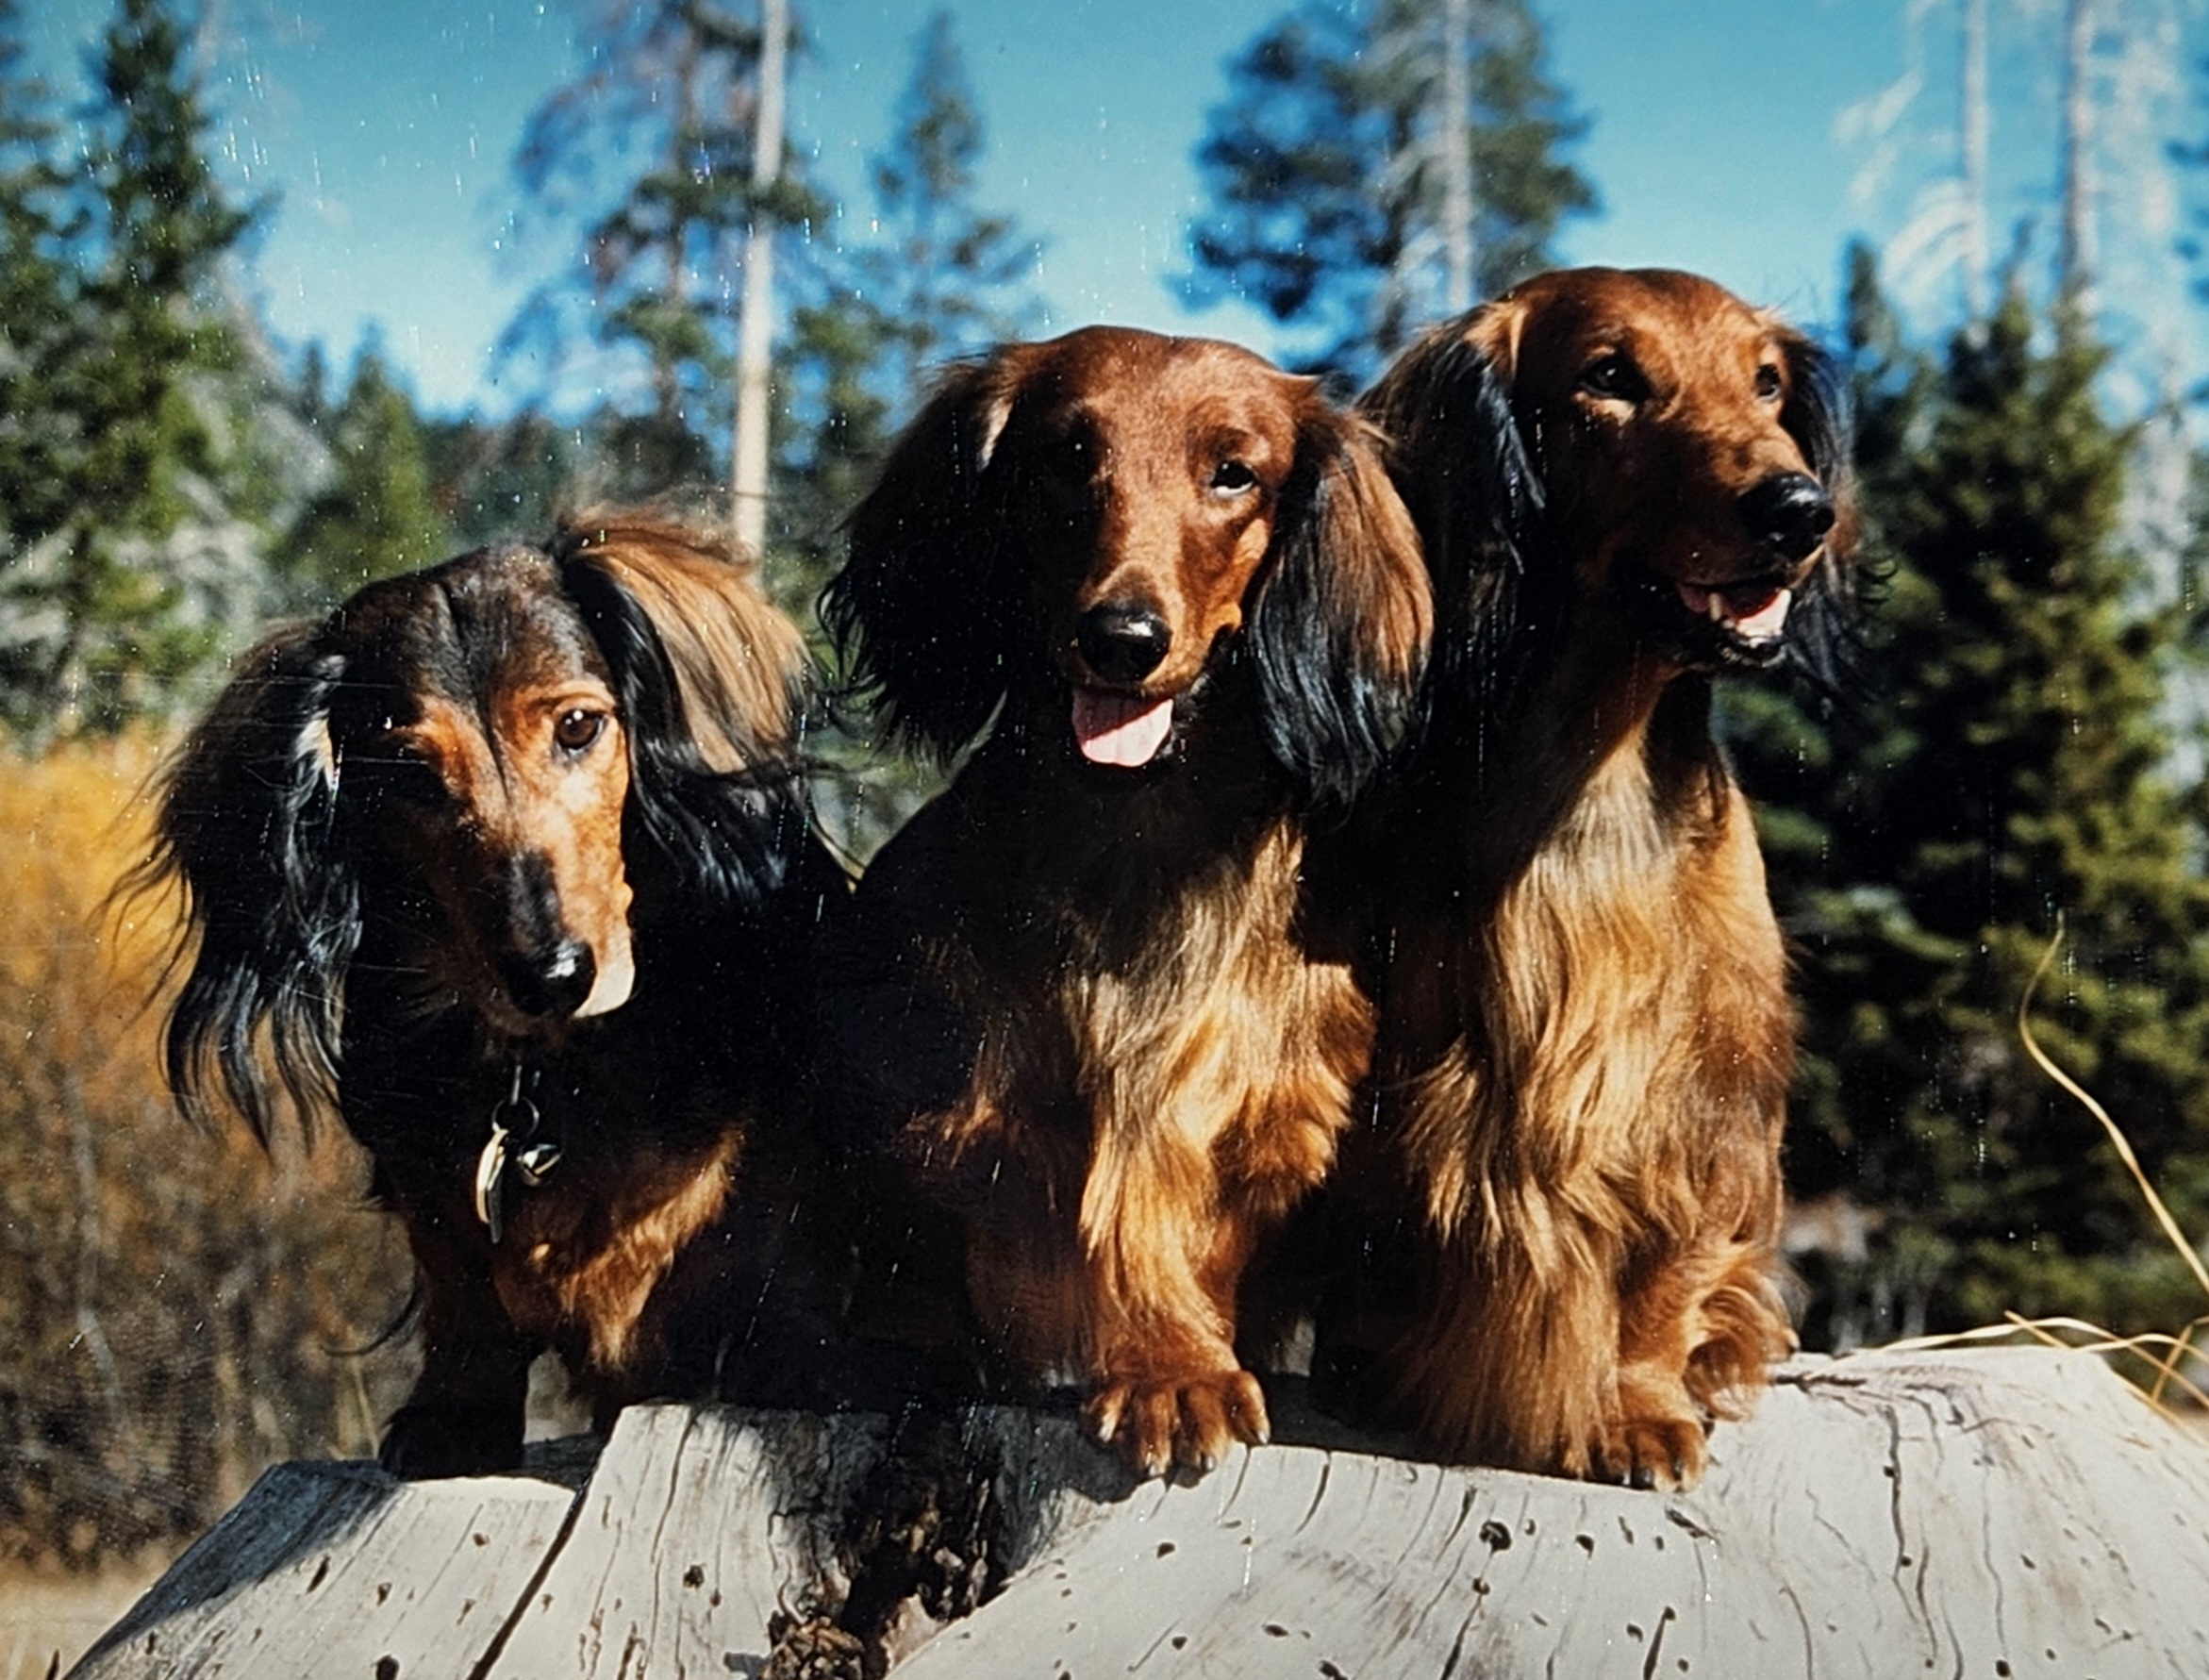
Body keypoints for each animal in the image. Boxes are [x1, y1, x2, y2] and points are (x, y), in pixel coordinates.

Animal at [144, 512, 847, 1475]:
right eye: (407, 772)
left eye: (580, 726)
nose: (551, 977)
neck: (549, 1073)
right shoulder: (430, 1184)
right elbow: (461, 1284)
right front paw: (453, 1413)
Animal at [1332, 267, 1856, 1488]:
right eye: (1609, 378)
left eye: (1765, 381)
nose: (1797, 510)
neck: (1593, 784)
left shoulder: (1700, 1104)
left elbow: (1664, 1275)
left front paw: (1638, 1404)